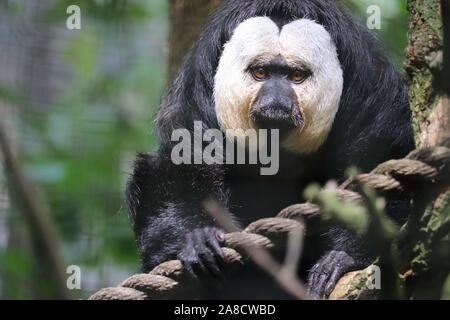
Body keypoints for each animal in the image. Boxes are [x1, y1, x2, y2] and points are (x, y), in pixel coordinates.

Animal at [126, 0, 414, 298]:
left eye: (296, 75)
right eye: (260, 72)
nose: (276, 99)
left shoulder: (373, 96)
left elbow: (383, 165)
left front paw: (346, 257)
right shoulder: (193, 101)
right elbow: (173, 169)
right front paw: (196, 239)